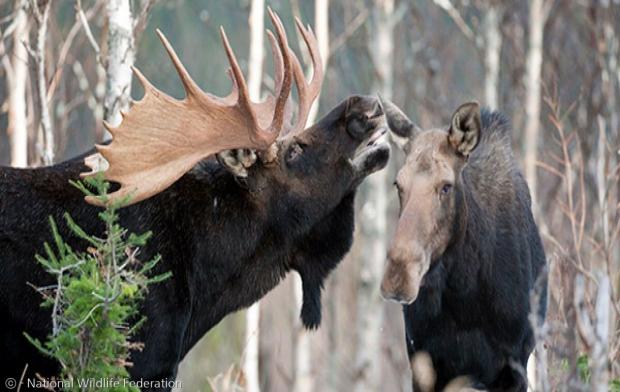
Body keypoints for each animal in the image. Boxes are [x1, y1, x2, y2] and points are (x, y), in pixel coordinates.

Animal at [378, 99, 548, 392]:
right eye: (397, 184)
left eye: (446, 186)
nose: (398, 276)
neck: (465, 292)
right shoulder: (425, 365)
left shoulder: (513, 368)